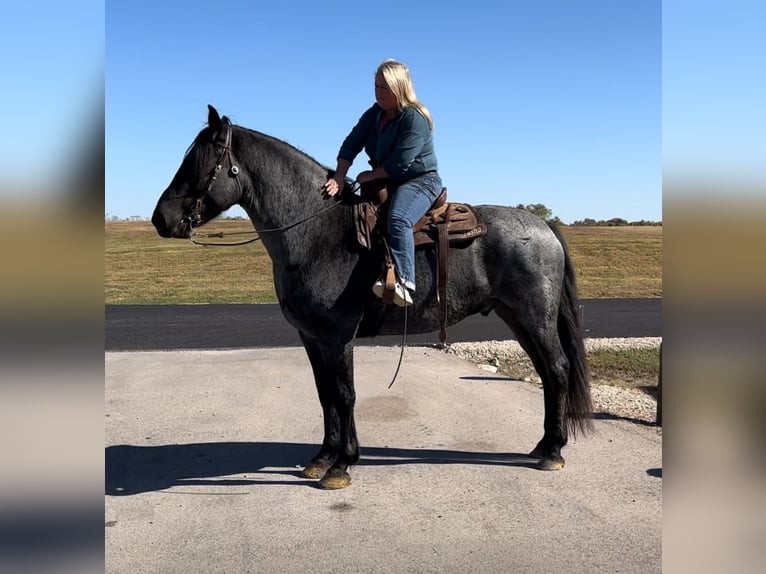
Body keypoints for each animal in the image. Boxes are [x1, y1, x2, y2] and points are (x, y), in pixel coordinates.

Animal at [150, 104, 592, 490]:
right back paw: (543, 444)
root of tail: (545, 226)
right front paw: (322, 458)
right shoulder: (312, 338)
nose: (161, 219)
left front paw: (342, 464)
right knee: (547, 372)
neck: (318, 233)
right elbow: (325, 395)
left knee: (556, 368)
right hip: (517, 318)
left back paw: (553, 451)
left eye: (202, 163)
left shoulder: (338, 336)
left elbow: (345, 394)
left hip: (534, 316)